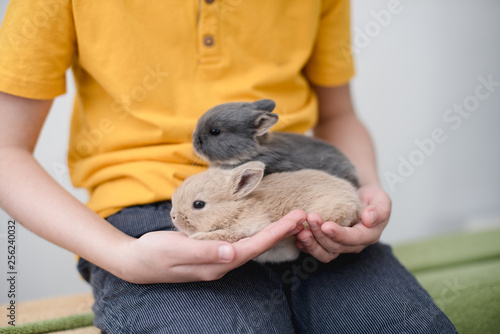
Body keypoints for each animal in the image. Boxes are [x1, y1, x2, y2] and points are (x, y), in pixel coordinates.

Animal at [170, 162, 362, 264]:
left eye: (198, 204)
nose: (173, 216)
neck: (238, 207)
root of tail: (355, 200)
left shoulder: (248, 226)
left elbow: (224, 234)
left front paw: (198, 237)